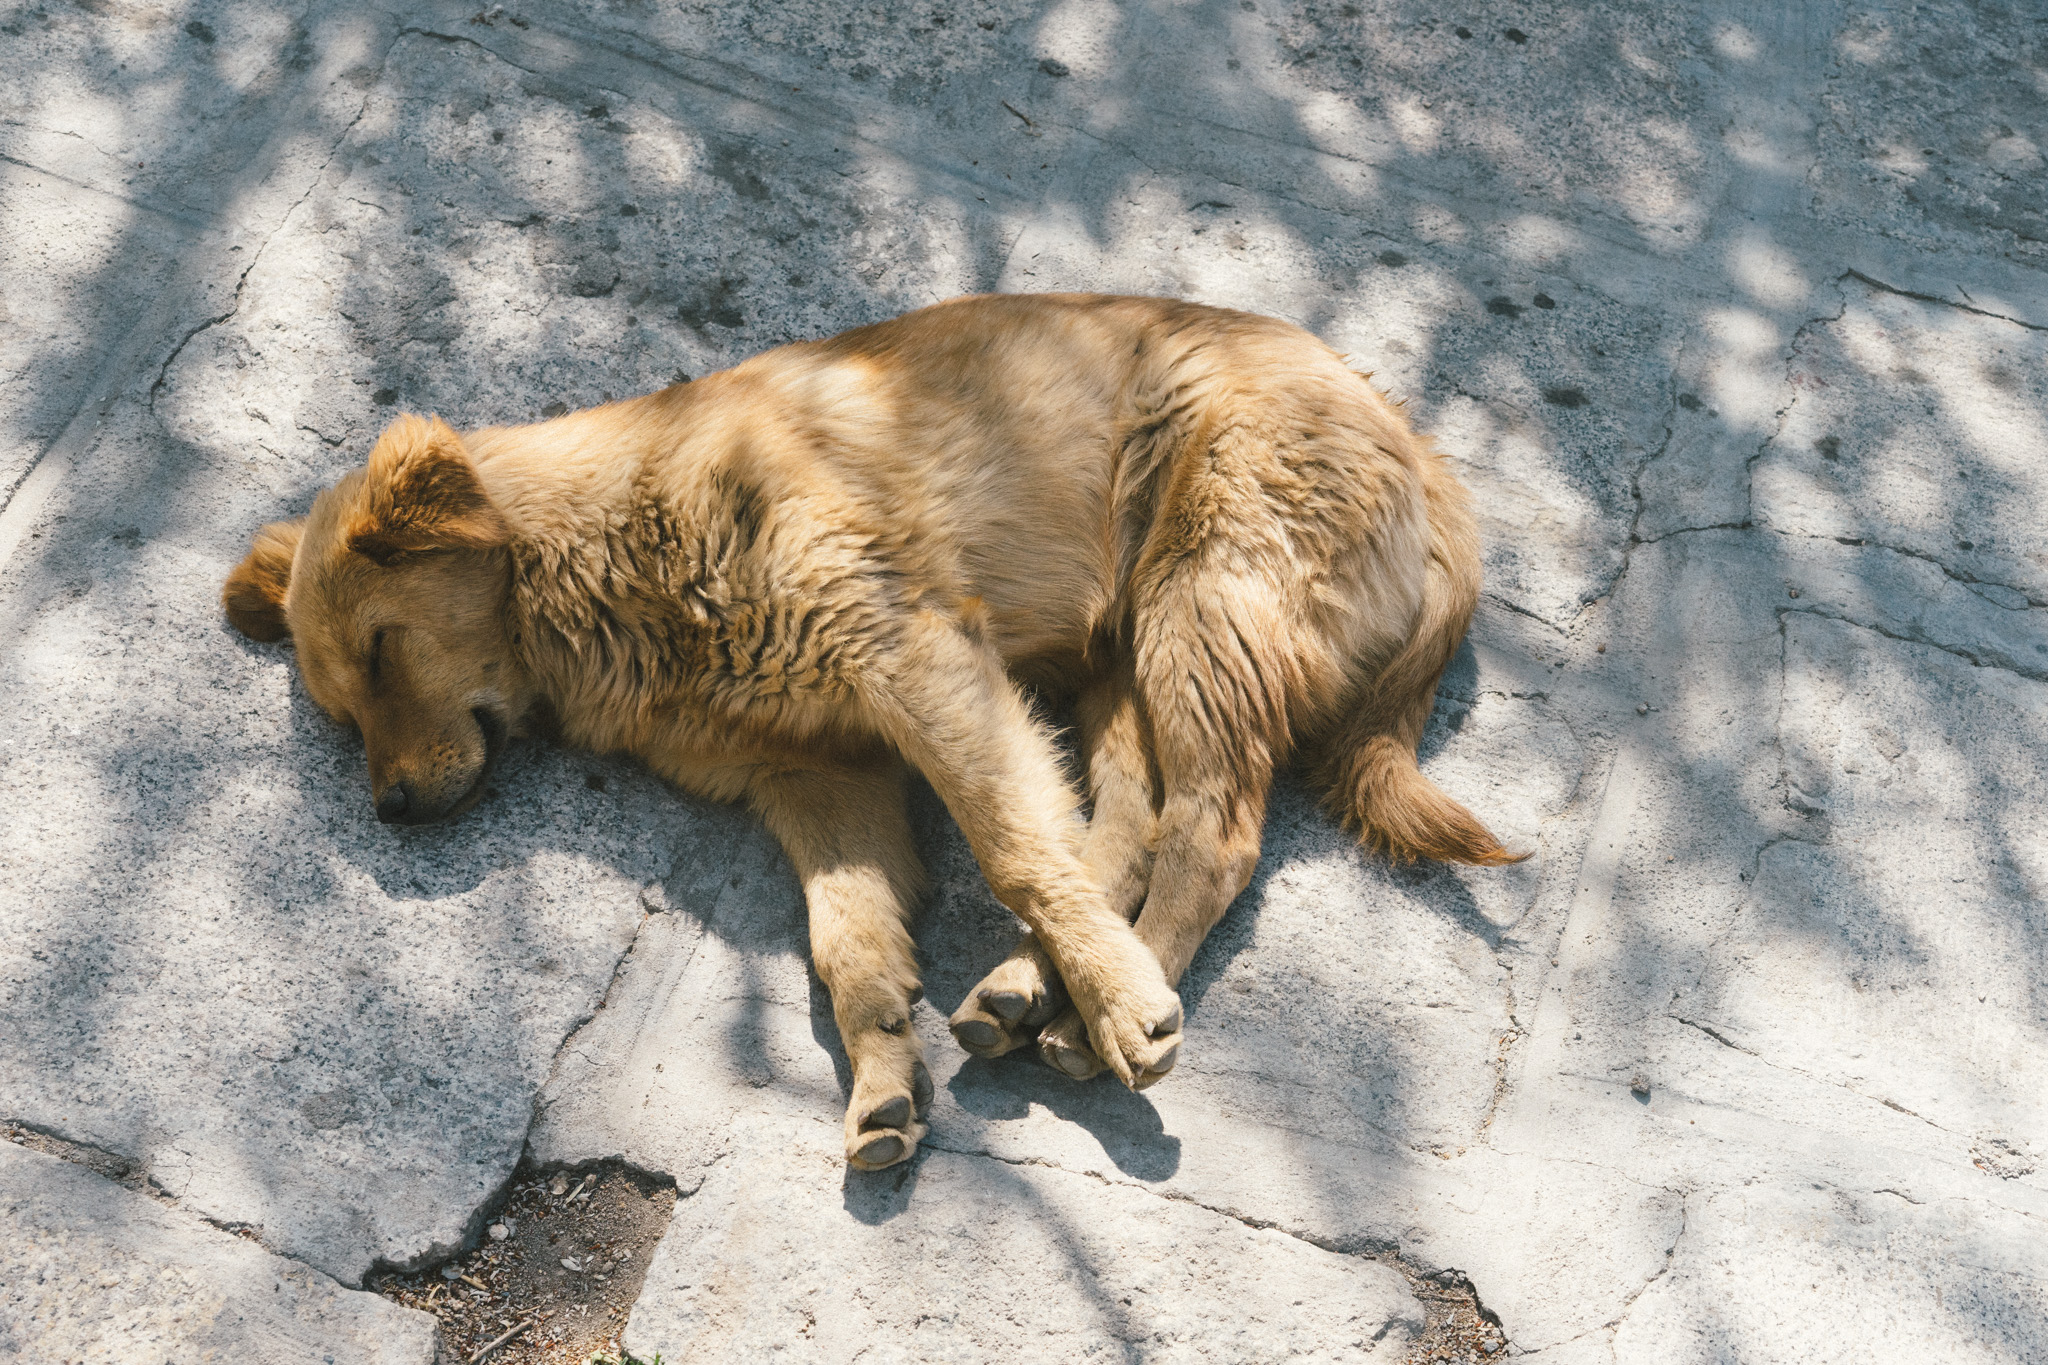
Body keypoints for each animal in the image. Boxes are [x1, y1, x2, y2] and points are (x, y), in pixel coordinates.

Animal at [220, 294, 1523, 1170]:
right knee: (1126, 821)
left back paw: (1109, 1002)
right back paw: (1031, 988)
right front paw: (884, 1070)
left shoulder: (913, 661)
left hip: (1199, 606)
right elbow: (849, 942)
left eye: (381, 652)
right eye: (340, 710)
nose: (389, 812)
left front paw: (1114, 996)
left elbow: (1010, 847)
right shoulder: (820, 771)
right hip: (1113, 662)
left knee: (1210, 829)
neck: (601, 560)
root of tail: (1409, 433)